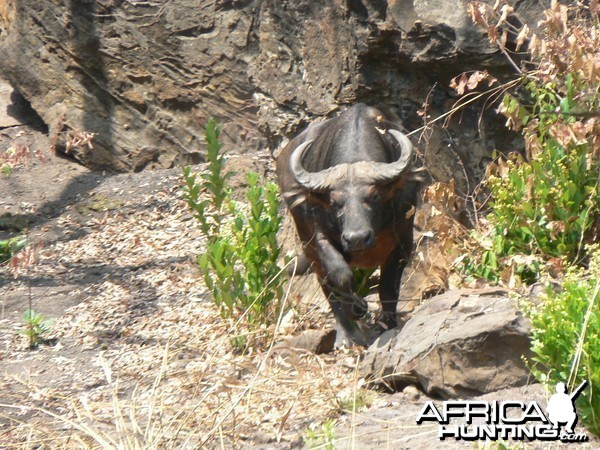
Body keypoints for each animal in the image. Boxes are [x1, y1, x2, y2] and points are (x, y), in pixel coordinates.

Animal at [276, 103, 420, 346]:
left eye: (374, 196)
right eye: (335, 202)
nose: (357, 239)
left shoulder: (403, 239)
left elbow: (388, 288)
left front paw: (388, 324)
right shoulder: (320, 237)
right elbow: (340, 275)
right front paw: (357, 308)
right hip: (308, 245)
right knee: (326, 286)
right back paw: (347, 335)